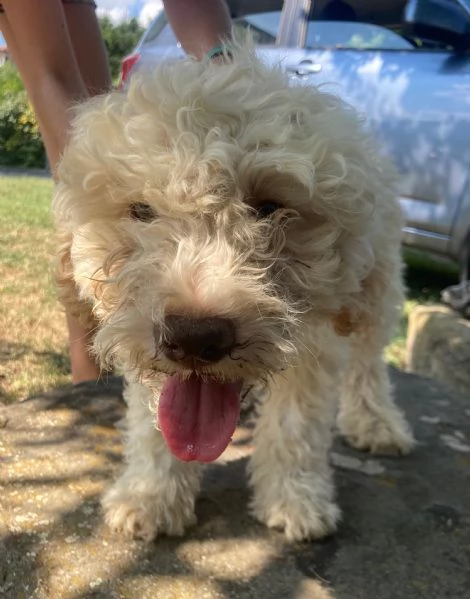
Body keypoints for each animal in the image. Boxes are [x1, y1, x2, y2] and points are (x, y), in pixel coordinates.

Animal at [53, 42, 414, 544]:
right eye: (142, 210)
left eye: (269, 207)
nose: (194, 337)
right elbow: (153, 423)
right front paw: (151, 494)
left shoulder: (318, 340)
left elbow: (296, 423)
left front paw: (295, 498)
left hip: (376, 285)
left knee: (367, 361)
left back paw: (375, 421)